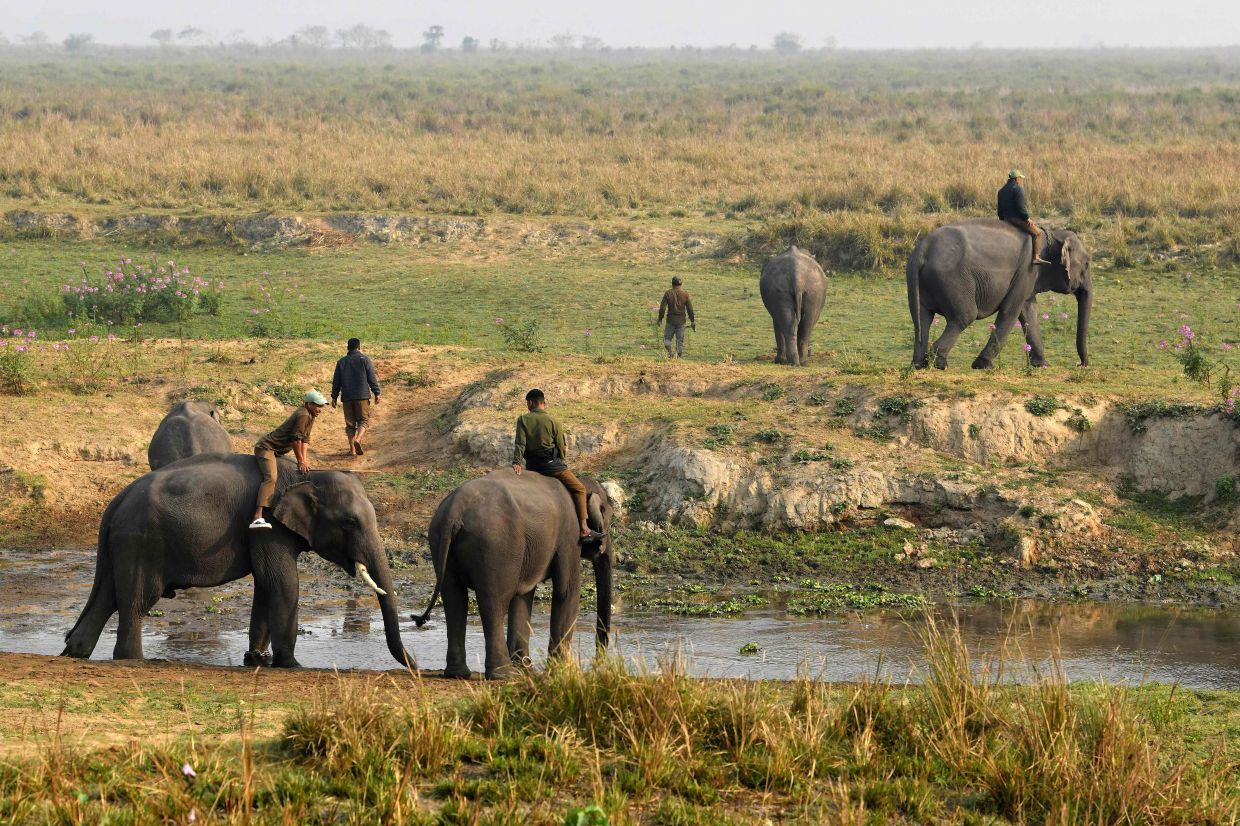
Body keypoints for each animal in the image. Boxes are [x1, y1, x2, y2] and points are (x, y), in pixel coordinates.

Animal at [62, 453, 414, 669]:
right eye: (350, 522)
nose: (416, 665)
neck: (308, 475)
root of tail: (115, 503)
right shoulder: (269, 526)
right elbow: (282, 583)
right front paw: (291, 665)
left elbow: (265, 586)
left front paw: (256, 660)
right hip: (141, 542)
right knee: (136, 602)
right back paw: (132, 660)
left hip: (122, 545)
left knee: (107, 597)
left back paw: (75, 653)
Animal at [414, 470, 613, 680]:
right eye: (607, 515)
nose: (597, 664)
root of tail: (454, 510)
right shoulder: (570, 537)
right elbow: (566, 592)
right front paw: (559, 672)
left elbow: (523, 596)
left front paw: (527, 669)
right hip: (494, 547)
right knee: (494, 603)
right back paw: (504, 674)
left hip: (439, 540)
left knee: (455, 599)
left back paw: (458, 674)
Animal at [907, 219, 1092, 370]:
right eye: (1087, 264)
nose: (1080, 364)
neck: (1052, 235)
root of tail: (922, 249)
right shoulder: (1026, 271)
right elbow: (1010, 311)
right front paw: (983, 365)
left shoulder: (1027, 277)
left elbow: (1028, 311)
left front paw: (1042, 365)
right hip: (952, 280)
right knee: (964, 317)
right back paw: (940, 364)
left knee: (922, 319)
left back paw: (919, 365)